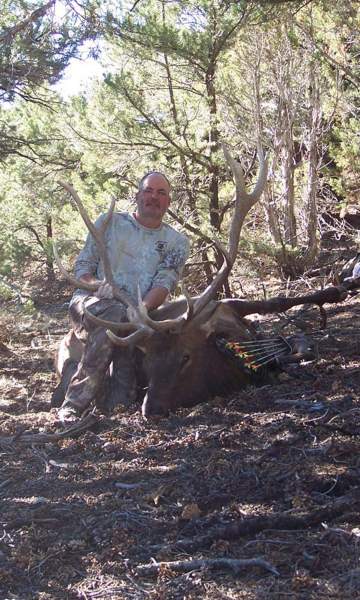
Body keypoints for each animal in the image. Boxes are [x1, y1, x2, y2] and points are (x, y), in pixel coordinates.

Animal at [54, 148, 360, 418]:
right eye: (147, 362)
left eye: (186, 357)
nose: (150, 410)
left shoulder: (229, 302)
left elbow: (279, 301)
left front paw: (337, 291)